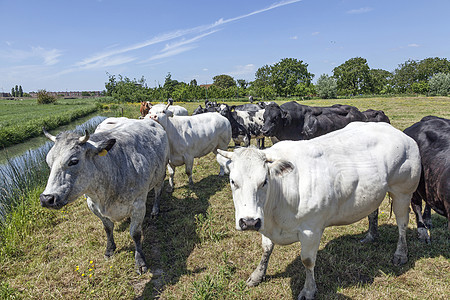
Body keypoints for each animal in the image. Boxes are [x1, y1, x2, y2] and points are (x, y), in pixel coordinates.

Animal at [39, 118, 170, 274]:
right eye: (48, 162)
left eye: (73, 161)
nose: (47, 198)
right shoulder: (92, 205)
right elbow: (107, 228)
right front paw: (109, 249)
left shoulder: (138, 205)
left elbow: (135, 233)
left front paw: (140, 261)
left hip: (160, 174)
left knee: (157, 191)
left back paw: (155, 210)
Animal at [218, 122, 422, 300]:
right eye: (233, 181)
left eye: (264, 181)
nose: (249, 222)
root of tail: (398, 132)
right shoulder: (264, 222)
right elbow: (266, 249)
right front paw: (257, 276)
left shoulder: (311, 230)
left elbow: (307, 261)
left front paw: (309, 290)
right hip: (375, 191)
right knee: (373, 212)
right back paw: (371, 235)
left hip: (403, 191)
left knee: (402, 223)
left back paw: (401, 254)